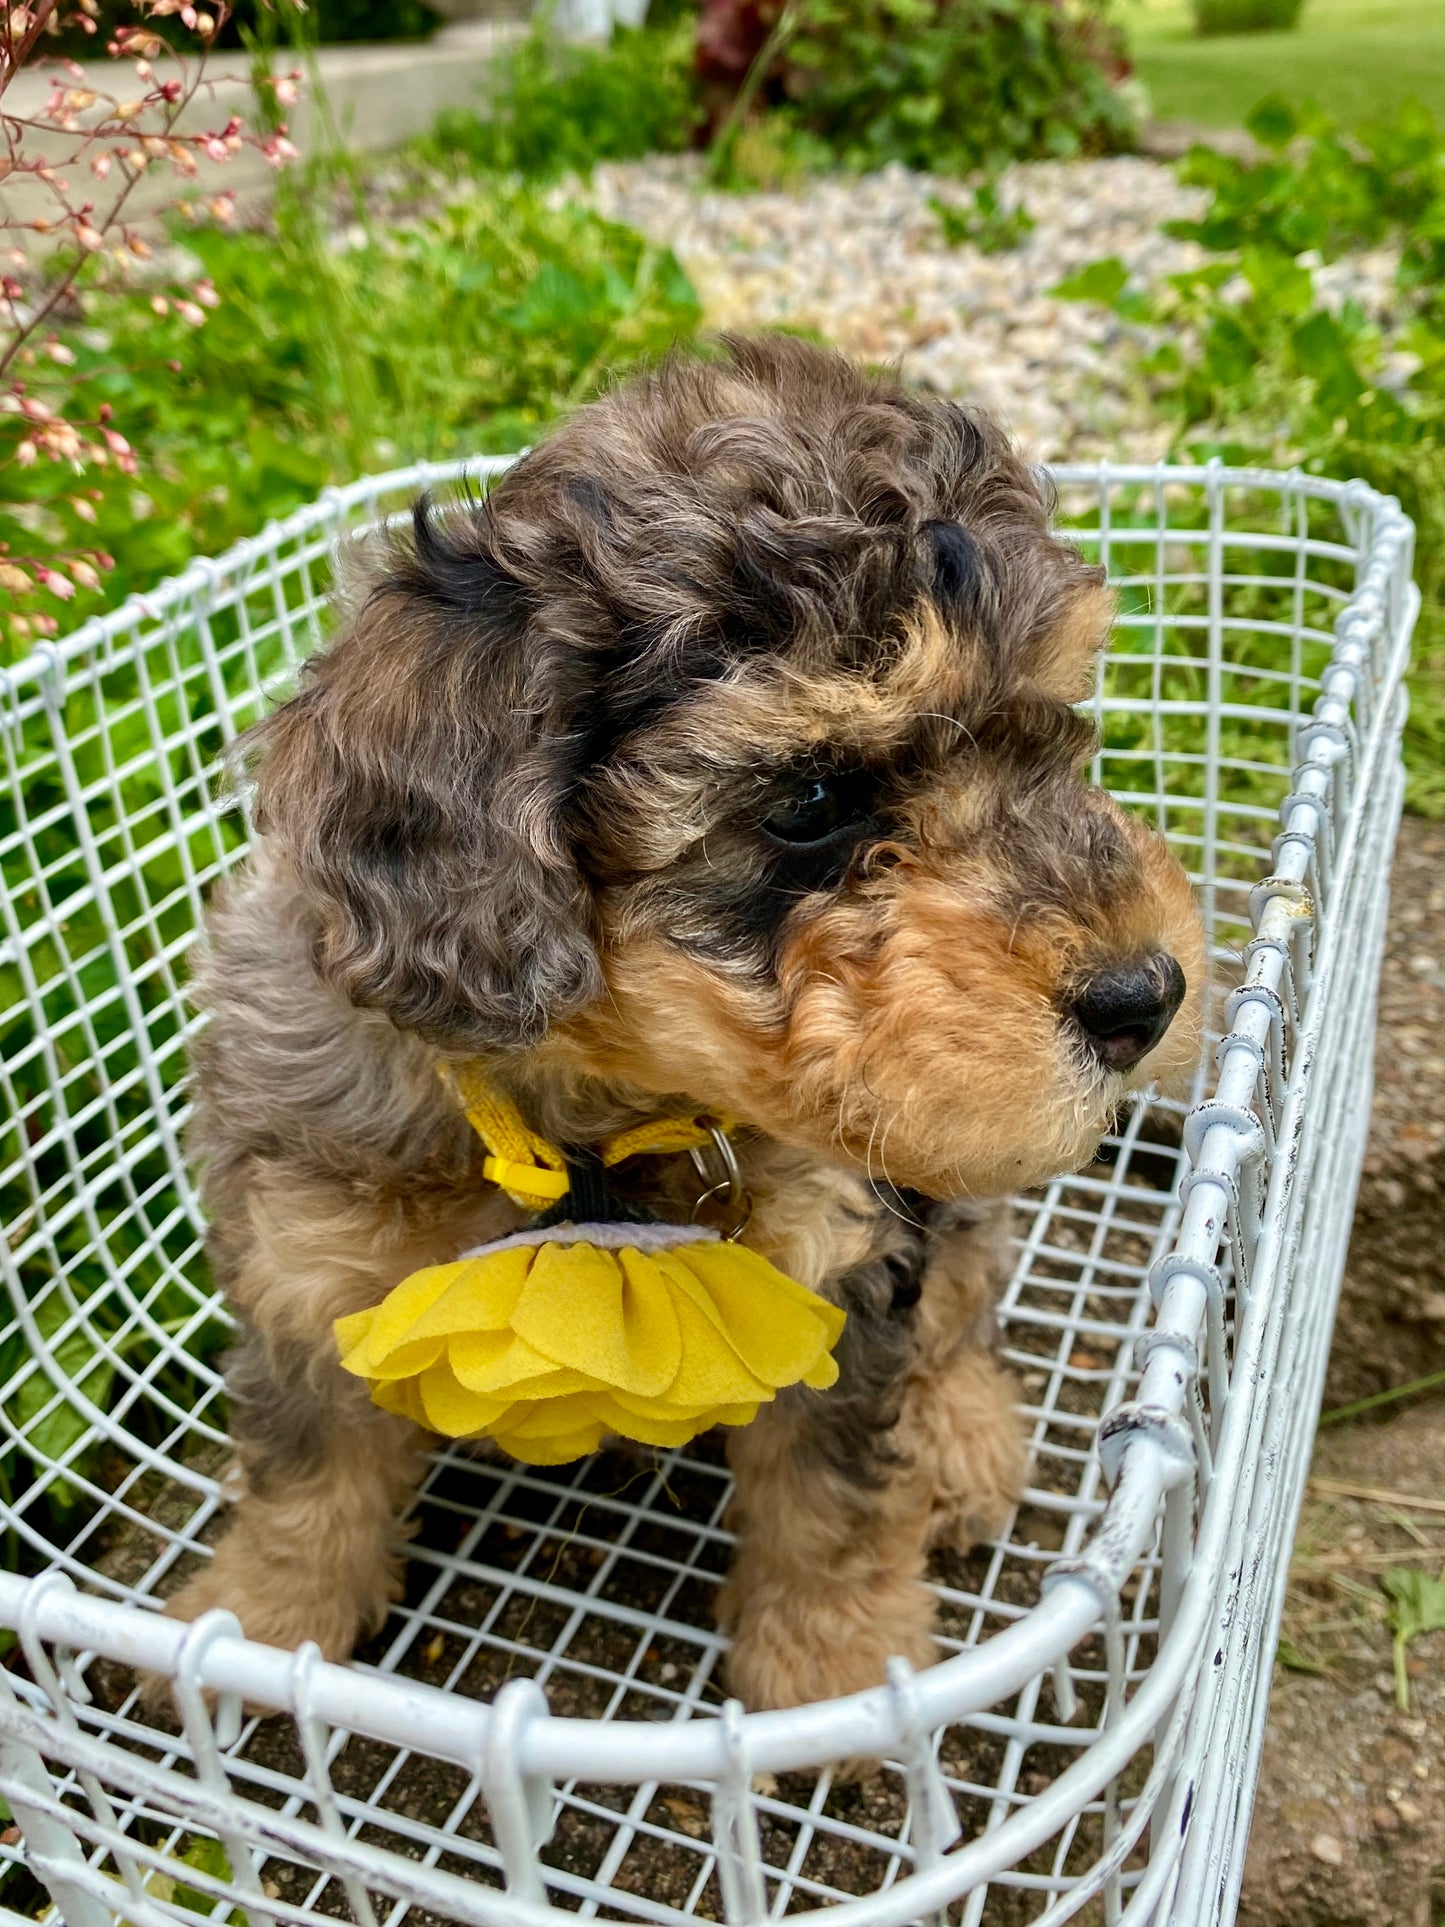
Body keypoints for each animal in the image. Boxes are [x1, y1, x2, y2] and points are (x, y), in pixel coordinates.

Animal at [163, 339, 1202, 1711]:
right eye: (810, 798)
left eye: (1054, 733)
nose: (1146, 994)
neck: (590, 1121)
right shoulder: (298, 1261)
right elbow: (303, 1466)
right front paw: (255, 1623)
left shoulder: (842, 1257)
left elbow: (831, 1490)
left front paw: (832, 1671)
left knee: (966, 1287)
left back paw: (962, 1440)